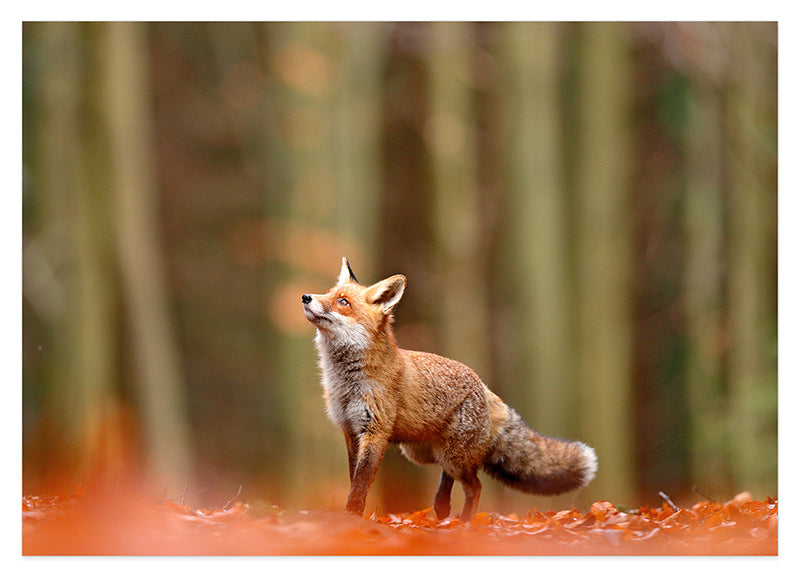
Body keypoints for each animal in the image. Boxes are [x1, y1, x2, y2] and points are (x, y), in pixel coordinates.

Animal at [301, 257, 597, 522]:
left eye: (343, 302)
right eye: (328, 293)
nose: (305, 297)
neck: (345, 383)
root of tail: (484, 386)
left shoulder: (375, 432)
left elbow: (361, 483)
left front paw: (352, 516)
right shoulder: (350, 430)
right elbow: (354, 478)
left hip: (453, 456)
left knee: (475, 486)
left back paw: (464, 523)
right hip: (426, 453)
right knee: (448, 480)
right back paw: (442, 512)